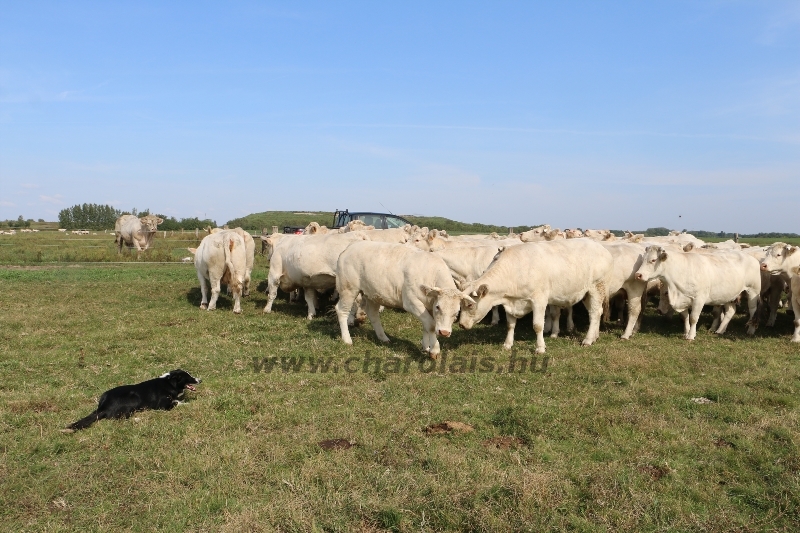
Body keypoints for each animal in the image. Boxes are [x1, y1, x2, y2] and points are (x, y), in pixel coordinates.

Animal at [67, 368, 202, 430]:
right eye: (189, 377)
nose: (200, 380)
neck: (169, 383)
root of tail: (102, 407)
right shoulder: (162, 405)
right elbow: (177, 402)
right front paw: (188, 403)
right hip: (133, 399)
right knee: (119, 418)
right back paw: (137, 418)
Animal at [332, 241, 468, 358]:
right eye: (438, 307)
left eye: (457, 312)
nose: (444, 332)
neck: (431, 273)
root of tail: (350, 247)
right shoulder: (412, 302)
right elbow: (430, 325)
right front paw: (434, 350)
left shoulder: (428, 306)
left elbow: (426, 326)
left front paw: (426, 347)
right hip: (348, 289)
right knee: (341, 310)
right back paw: (347, 339)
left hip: (373, 293)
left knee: (373, 314)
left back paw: (383, 338)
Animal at [456, 239, 612, 352]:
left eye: (470, 305)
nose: (461, 324)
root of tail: (599, 246)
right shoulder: (510, 302)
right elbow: (510, 325)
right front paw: (507, 344)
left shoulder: (539, 300)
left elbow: (538, 326)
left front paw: (540, 348)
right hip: (585, 293)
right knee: (596, 312)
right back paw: (595, 336)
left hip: (596, 287)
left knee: (595, 313)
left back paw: (588, 339)